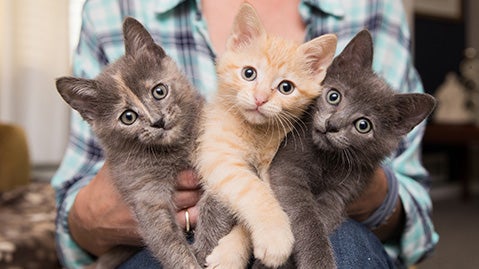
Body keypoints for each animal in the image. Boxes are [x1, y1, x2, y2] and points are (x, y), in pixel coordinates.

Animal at [55, 17, 204, 266]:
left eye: (159, 91)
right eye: (128, 117)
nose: (158, 121)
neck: (174, 148)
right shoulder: (143, 190)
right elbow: (166, 239)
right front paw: (188, 263)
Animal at [195, 3, 338, 266]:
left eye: (286, 87)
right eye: (249, 73)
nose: (260, 99)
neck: (257, 133)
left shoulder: (279, 167)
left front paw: (232, 253)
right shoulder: (218, 155)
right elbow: (254, 191)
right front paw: (275, 235)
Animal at [255, 30, 438, 266]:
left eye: (363, 125)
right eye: (334, 96)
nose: (332, 125)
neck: (327, 159)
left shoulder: (344, 191)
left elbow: (322, 219)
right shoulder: (288, 168)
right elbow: (305, 216)